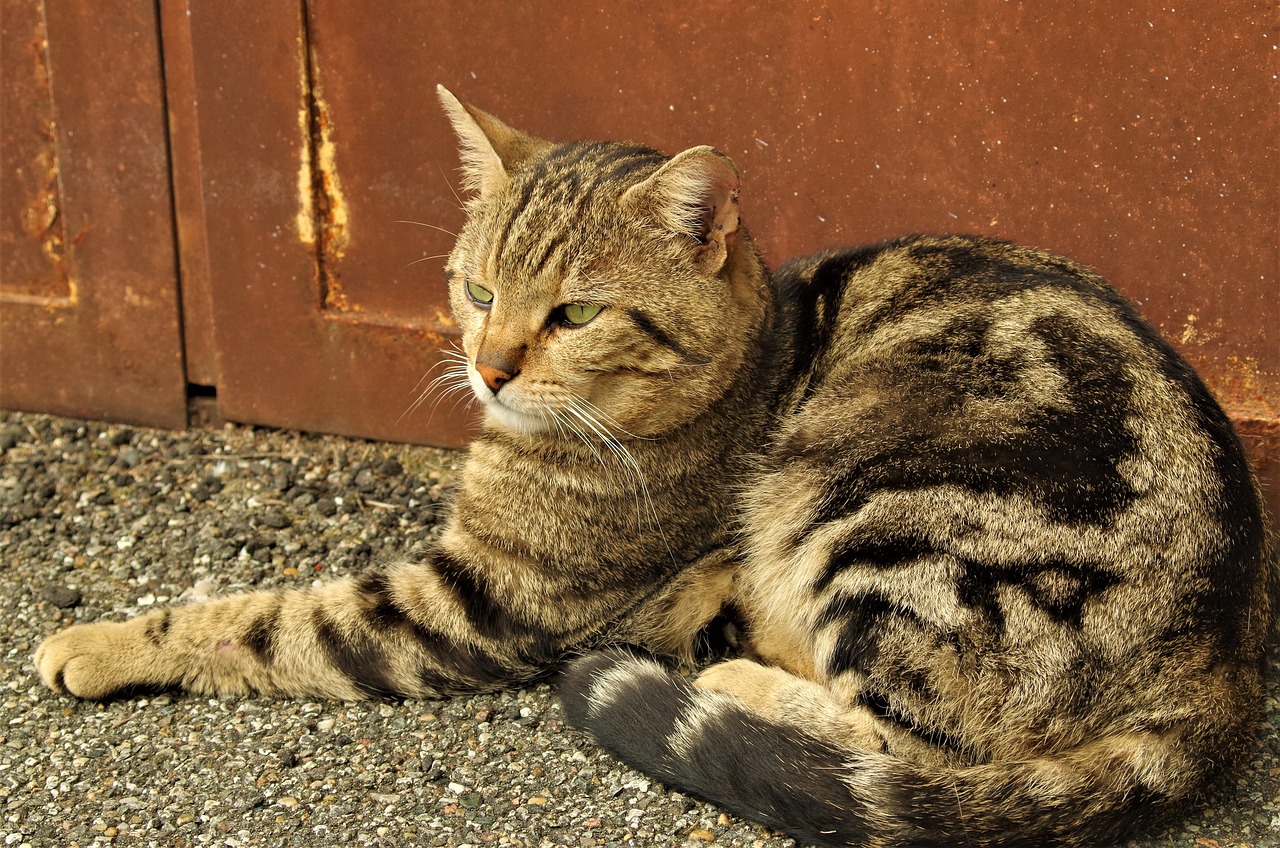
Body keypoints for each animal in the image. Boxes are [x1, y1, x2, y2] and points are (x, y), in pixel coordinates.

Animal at [35, 87, 1274, 848]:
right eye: (476, 289)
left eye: (575, 313)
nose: (486, 366)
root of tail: (1223, 661)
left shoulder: (480, 597)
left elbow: (258, 619)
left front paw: (99, 640)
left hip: (888, 511)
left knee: (908, 749)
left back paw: (736, 674)